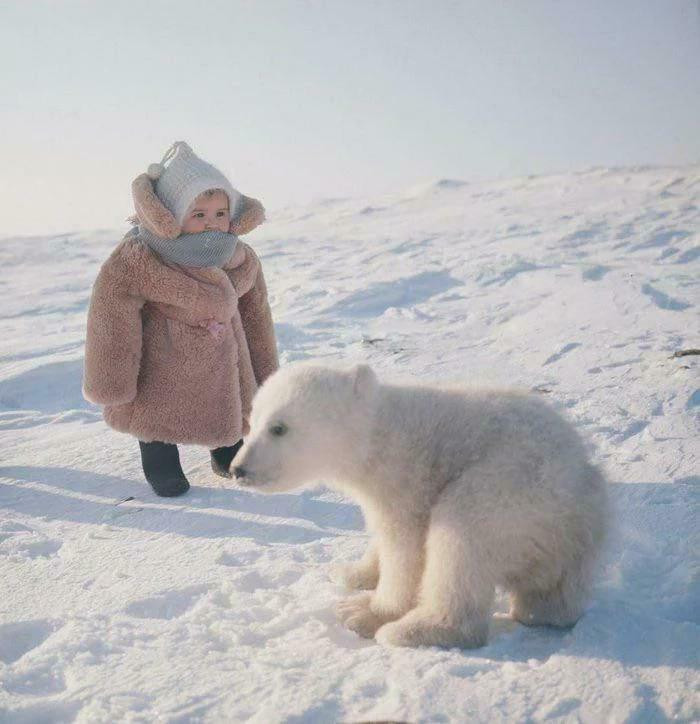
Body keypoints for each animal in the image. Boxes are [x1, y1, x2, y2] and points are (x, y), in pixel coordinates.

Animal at [232, 363, 609, 649]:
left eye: (278, 427)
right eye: (252, 420)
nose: (238, 469)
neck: (377, 436)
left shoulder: (408, 480)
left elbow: (406, 548)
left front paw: (367, 612)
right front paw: (352, 573)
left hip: (515, 487)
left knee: (462, 534)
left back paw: (416, 629)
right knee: (552, 590)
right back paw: (541, 610)